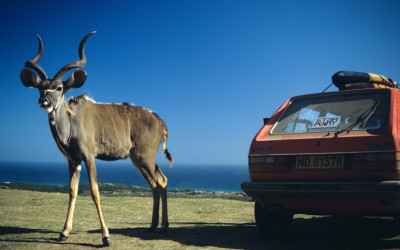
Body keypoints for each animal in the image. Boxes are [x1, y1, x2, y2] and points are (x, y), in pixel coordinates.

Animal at [19, 31, 173, 246]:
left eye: (59, 88)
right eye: (40, 88)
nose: (45, 101)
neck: (71, 122)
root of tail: (161, 123)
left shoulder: (89, 156)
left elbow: (94, 191)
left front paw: (106, 237)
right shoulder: (73, 160)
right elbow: (72, 191)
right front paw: (64, 233)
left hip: (146, 157)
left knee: (162, 181)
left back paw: (164, 227)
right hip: (137, 159)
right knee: (154, 184)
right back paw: (152, 226)